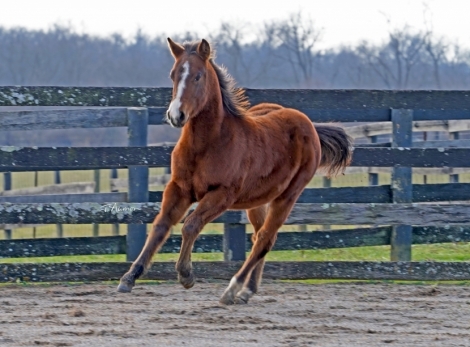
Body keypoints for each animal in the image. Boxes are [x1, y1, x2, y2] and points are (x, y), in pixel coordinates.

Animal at [117, 37, 352, 304]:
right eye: (173, 74)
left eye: (198, 76)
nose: (176, 115)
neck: (207, 144)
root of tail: (310, 125)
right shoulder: (179, 188)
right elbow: (160, 226)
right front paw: (129, 277)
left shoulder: (222, 194)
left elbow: (190, 225)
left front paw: (186, 274)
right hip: (259, 200)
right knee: (259, 235)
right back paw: (247, 290)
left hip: (288, 195)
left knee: (265, 238)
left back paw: (233, 289)